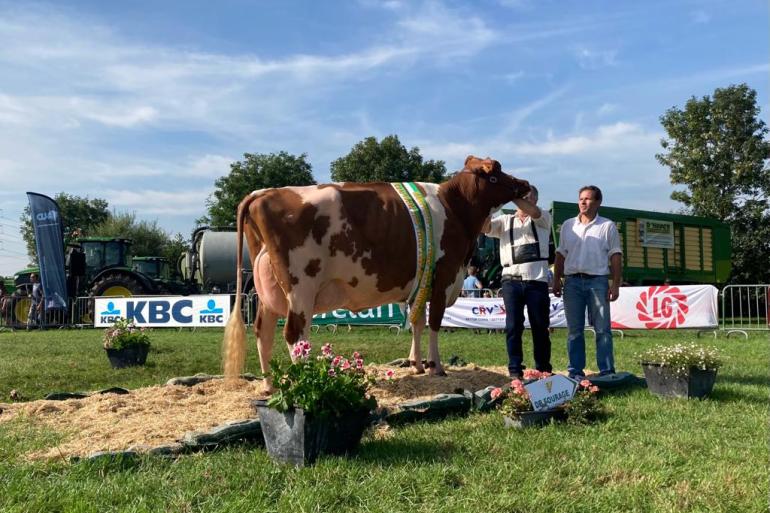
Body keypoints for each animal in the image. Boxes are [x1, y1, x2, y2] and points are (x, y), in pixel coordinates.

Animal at [224, 156, 528, 384]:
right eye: (495, 174)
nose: (524, 184)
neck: (455, 208)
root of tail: (262, 192)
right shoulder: (443, 276)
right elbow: (434, 323)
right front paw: (436, 367)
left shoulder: (422, 281)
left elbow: (417, 322)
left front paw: (416, 364)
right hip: (301, 288)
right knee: (294, 334)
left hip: (269, 291)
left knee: (263, 331)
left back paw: (270, 385)